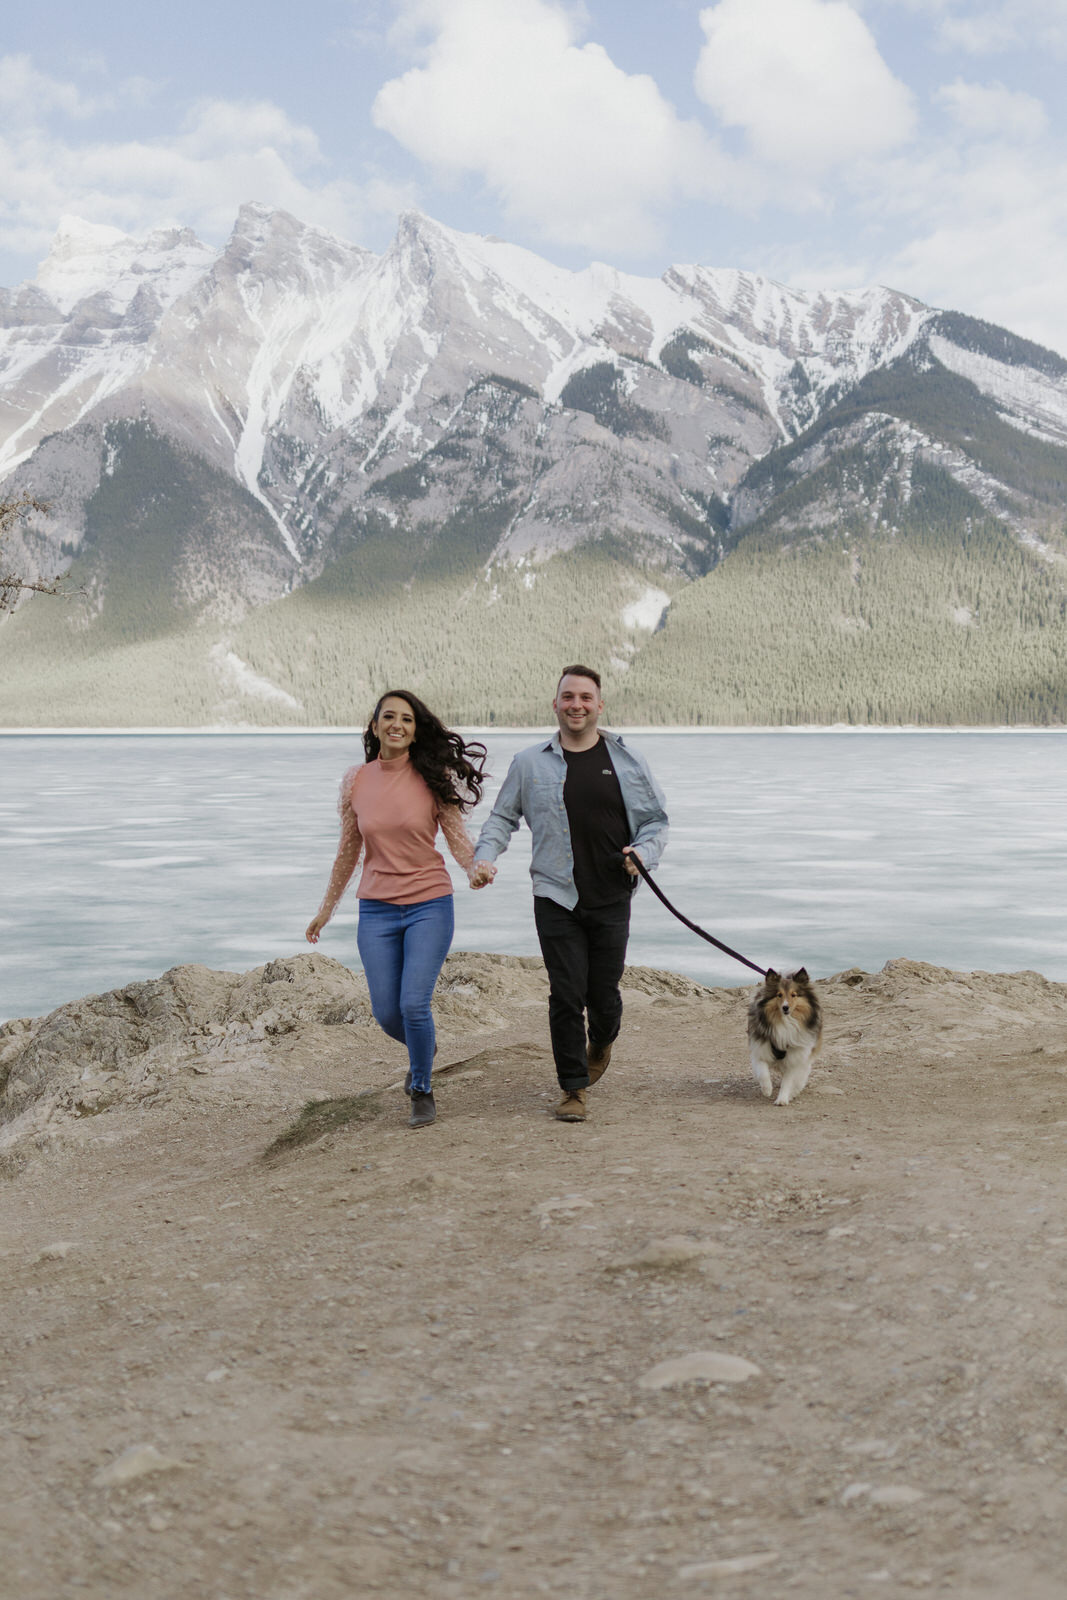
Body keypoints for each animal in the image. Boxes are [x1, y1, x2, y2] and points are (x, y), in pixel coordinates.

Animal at [748, 966, 825, 1107]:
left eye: (793, 995)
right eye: (779, 995)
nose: (785, 1007)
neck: (785, 1022)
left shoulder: (794, 1058)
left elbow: (788, 1081)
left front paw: (782, 1099)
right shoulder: (760, 1049)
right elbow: (763, 1071)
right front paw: (767, 1089)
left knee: (802, 1073)